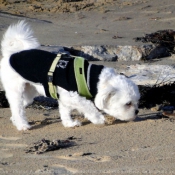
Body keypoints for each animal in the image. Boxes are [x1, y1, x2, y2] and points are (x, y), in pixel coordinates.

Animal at [0, 20, 139, 131]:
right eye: (128, 104)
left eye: (137, 101)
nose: (137, 111)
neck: (90, 77)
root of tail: (11, 54)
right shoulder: (71, 95)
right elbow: (87, 105)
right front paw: (98, 118)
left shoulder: (64, 98)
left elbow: (65, 111)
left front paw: (69, 124)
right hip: (16, 91)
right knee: (17, 109)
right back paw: (22, 125)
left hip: (28, 92)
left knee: (18, 107)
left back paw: (15, 121)